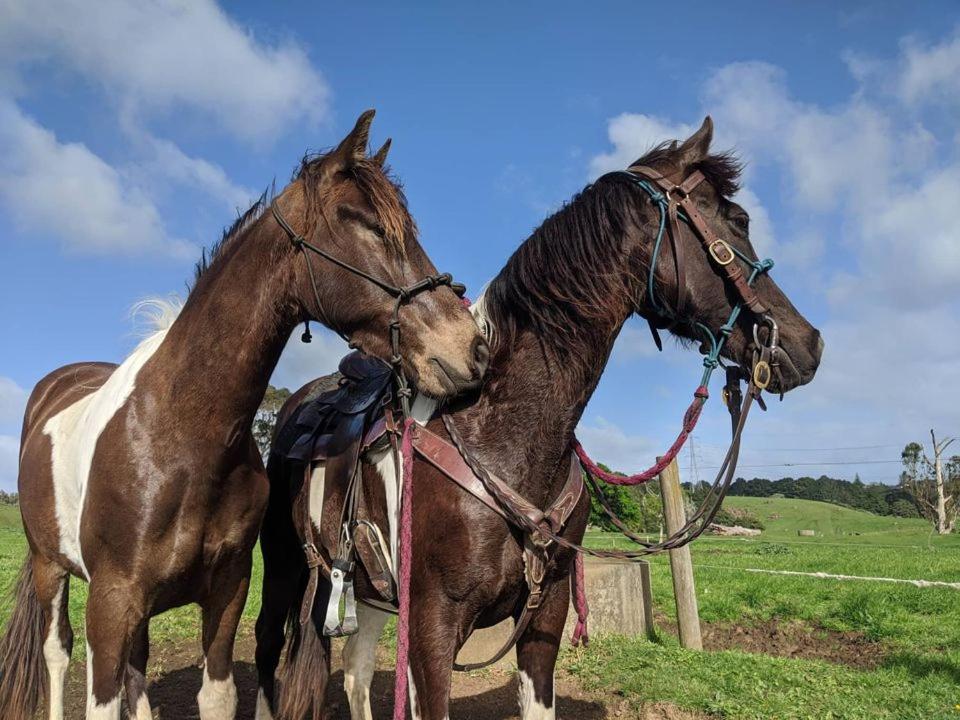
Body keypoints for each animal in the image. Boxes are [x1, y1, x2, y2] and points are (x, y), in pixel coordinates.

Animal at [1, 111, 488, 720]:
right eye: (366, 224)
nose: (471, 347)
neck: (179, 435)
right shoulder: (111, 601)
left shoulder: (227, 591)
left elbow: (216, 695)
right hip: (51, 568)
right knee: (57, 652)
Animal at [256, 119, 824, 720]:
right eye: (738, 221)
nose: (809, 343)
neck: (500, 434)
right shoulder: (432, 629)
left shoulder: (544, 614)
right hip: (287, 572)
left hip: (365, 592)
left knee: (357, 671)